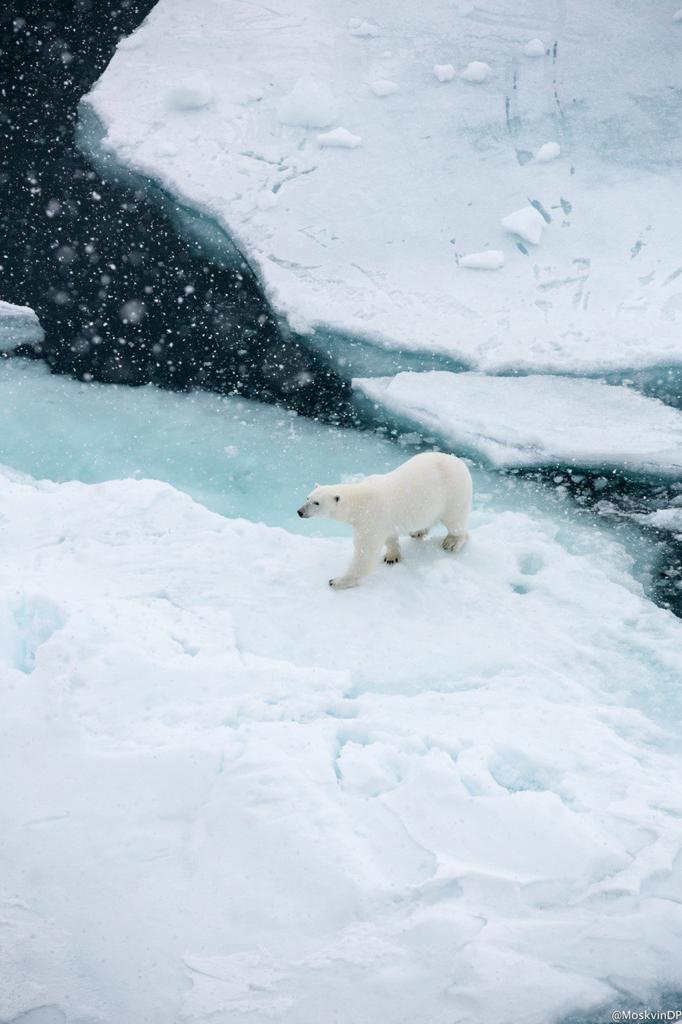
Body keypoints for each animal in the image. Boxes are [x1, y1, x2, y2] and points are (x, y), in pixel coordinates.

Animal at [294, 452, 471, 589]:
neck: (360, 501)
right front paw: (392, 556)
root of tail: (460, 462)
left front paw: (338, 581)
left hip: (454, 494)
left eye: (317, 503)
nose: (300, 512)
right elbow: (390, 538)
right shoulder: (384, 521)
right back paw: (418, 531)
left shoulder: (371, 518)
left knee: (456, 520)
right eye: (307, 497)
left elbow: (365, 553)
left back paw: (452, 542)